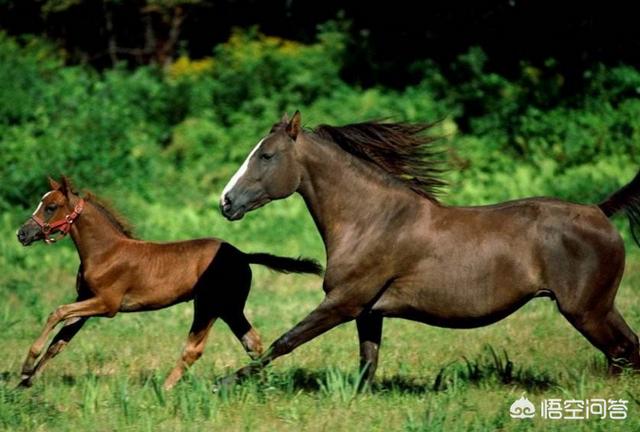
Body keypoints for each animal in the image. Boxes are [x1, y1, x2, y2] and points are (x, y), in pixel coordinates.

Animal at [16, 176, 322, 389]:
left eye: (50, 207)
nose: (22, 234)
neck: (105, 252)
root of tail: (241, 255)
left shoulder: (106, 304)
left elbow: (57, 312)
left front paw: (27, 365)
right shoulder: (86, 301)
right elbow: (59, 342)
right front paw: (25, 382)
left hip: (209, 305)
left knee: (195, 349)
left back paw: (164, 389)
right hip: (230, 308)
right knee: (253, 343)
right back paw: (261, 384)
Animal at [218, 111, 640, 388]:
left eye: (266, 155)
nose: (226, 202)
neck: (371, 221)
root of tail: (600, 211)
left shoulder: (343, 302)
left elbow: (284, 341)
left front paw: (225, 382)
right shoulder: (368, 312)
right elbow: (367, 365)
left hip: (587, 310)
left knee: (623, 352)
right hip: (599, 308)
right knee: (627, 351)